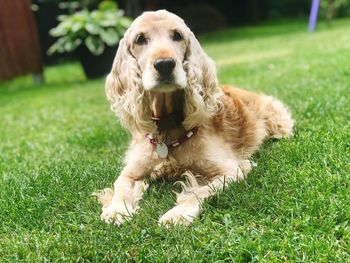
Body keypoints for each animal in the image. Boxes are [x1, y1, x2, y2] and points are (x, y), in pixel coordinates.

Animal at [93, 9, 292, 226]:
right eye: (140, 39)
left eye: (177, 35)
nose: (165, 64)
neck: (167, 127)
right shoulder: (132, 170)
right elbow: (120, 185)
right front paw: (116, 209)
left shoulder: (231, 170)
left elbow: (200, 191)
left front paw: (178, 213)